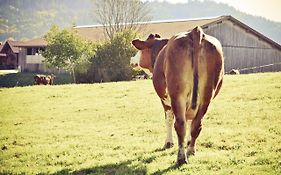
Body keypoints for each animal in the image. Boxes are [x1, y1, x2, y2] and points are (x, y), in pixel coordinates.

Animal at [131, 26, 223, 165]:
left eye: (140, 51)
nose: (132, 59)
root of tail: (194, 31)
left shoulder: (165, 100)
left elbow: (168, 119)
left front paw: (168, 143)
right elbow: (190, 121)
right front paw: (189, 142)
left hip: (177, 95)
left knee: (179, 125)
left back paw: (181, 158)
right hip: (206, 96)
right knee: (196, 124)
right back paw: (190, 150)